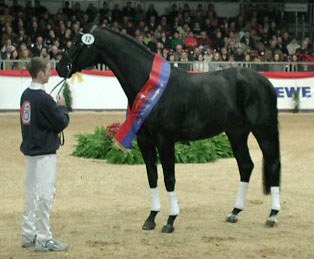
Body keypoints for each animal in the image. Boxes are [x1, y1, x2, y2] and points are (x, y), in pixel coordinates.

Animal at [56, 25, 282, 234]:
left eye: (78, 43)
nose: (59, 66)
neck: (150, 86)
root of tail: (263, 81)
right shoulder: (144, 141)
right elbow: (152, 177)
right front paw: (151, 218)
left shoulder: (165, 141)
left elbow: (169, 178)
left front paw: (170, 220)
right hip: (236, 133)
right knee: (246, 166)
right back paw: (234, 212)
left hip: (264, 130)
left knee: (272, 165)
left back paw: (272, 216)